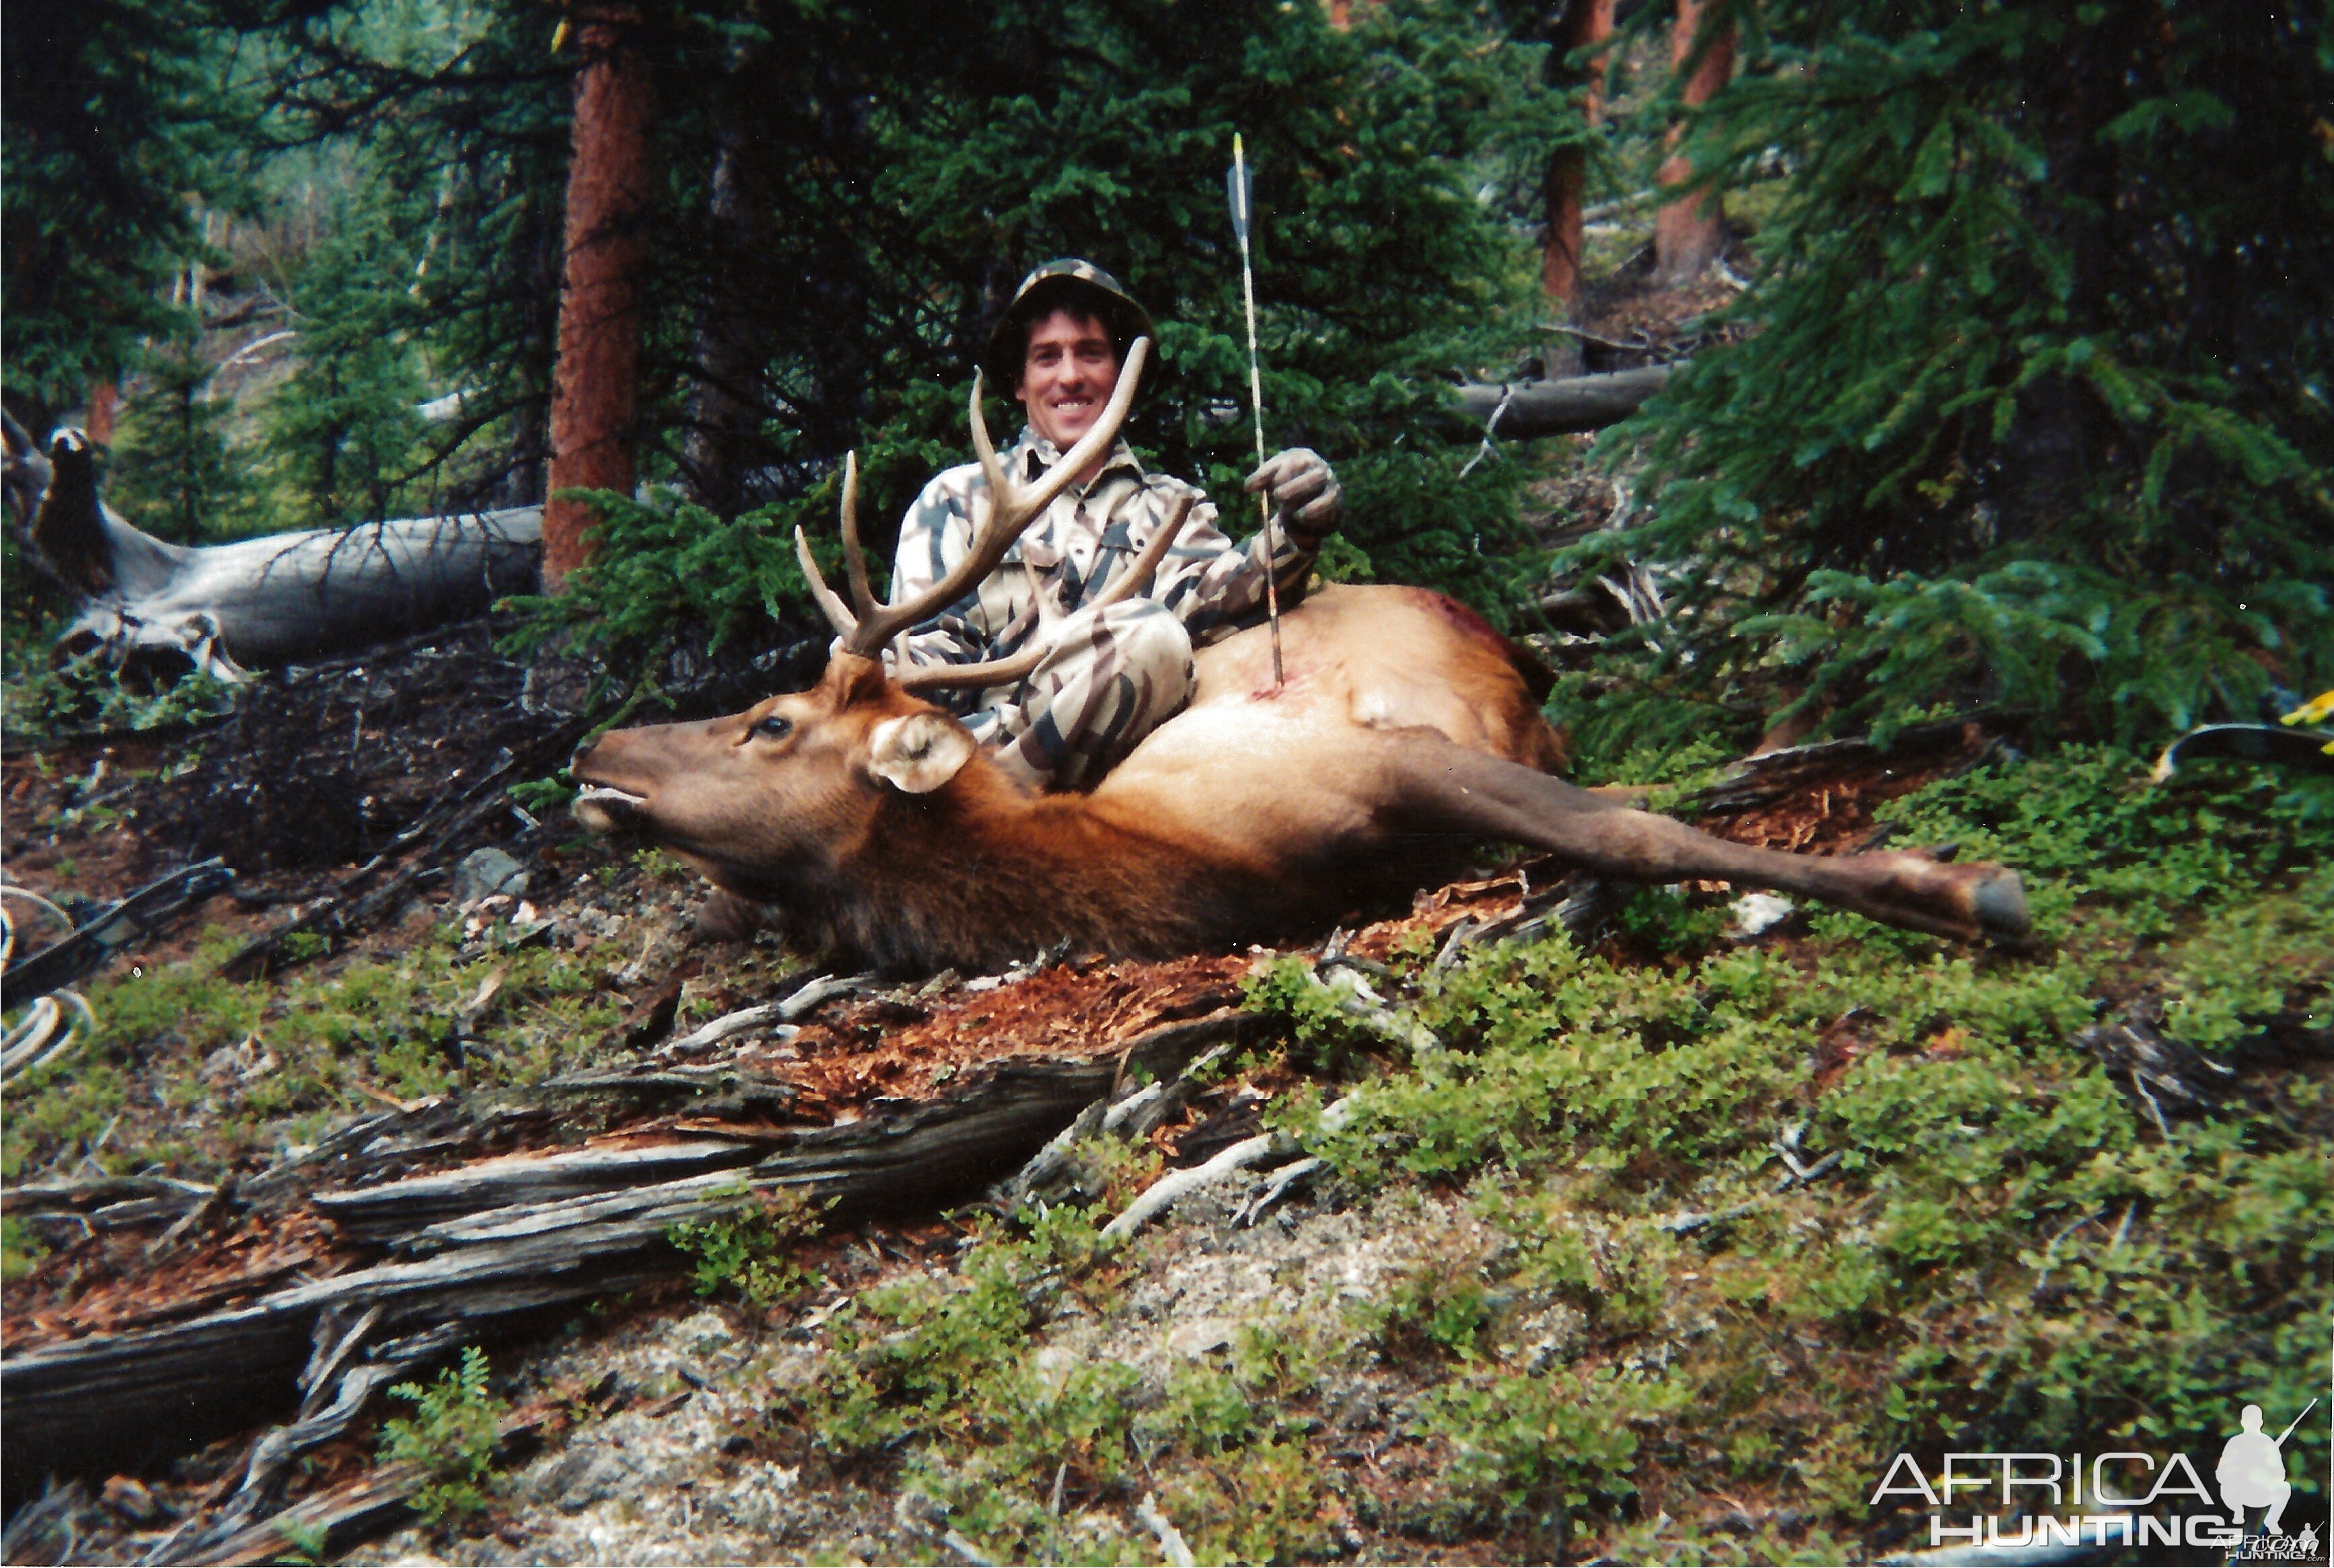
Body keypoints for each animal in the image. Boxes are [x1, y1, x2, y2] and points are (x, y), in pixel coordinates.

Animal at [574, 345, 2035, 966]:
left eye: (768, 720)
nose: (596, 743)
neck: (1187, 864)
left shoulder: (1390, 756)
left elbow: (1635, 832)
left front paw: (1960, 887)